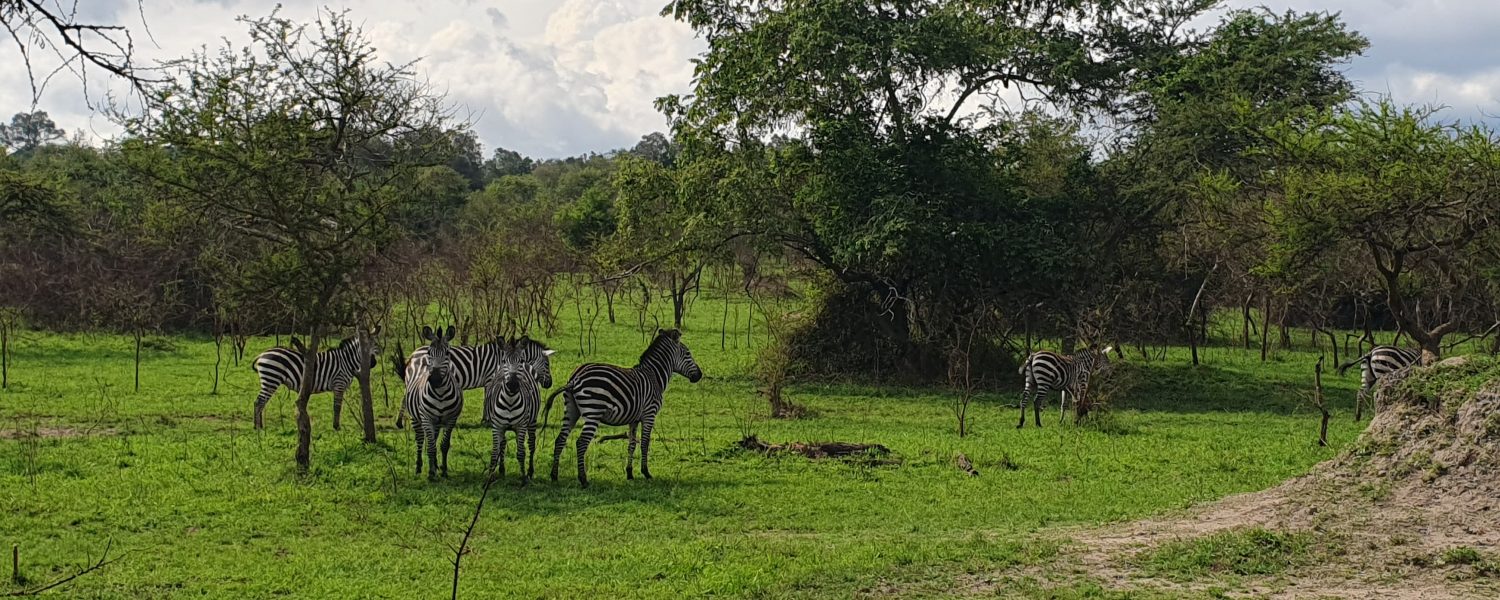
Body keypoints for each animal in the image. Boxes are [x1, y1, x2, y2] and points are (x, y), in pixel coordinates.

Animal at [252, 328, 381, 432]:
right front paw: (336, 427)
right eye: (373, 344)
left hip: (269, 380)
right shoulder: (339, 384)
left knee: (260, 402)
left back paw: (259, 426)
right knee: (259, 402)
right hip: (271, 379)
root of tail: (262, 354)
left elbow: (337, 406)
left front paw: (336, 425)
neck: (346, 361)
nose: (373, 364)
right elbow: (337, 406)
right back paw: (258, 427)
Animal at [405, 325, 462, 480]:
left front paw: (443, 470)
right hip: (416, 417)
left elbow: (443, 445)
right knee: (420, 439)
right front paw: (431, 474)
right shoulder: (426, 418)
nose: (435, 379)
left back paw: (435, 465)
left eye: (447, 353)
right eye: (430, 353)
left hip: (436, 421)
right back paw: (419, 467)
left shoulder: (451, 419)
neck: (440, 394)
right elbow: (430, 447)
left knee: (434, 439)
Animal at [546, 328, 702, 486]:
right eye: (688, 354)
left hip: (572, 410)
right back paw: (583, 480)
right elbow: (644, 443)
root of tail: (575, 378)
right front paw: (646, 472)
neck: (654, 377)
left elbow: (631, 444)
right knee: (581, 443)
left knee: (560, 439)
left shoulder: (634, 419)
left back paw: (554, 476)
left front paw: (629, 473)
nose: (700, 375)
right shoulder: (649, 414)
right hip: (593, 411)